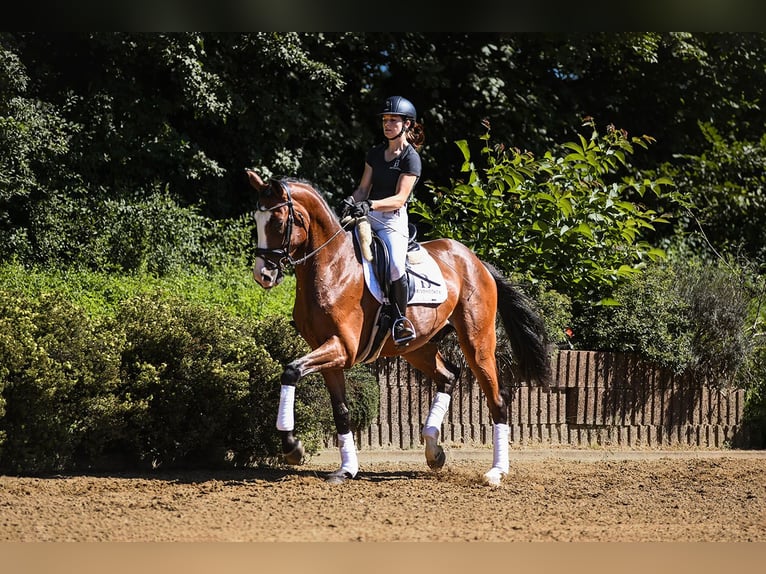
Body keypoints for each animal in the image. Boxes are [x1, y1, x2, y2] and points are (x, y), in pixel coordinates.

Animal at [249, 170, 556, 486]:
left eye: (278, 222)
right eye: (256, 220)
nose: (263, 275)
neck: (331, 267)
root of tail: (476, 261)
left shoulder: (342, 349)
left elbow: (291, 371)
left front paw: (292, 447)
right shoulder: (329, 354)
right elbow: (341, 411)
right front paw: (346, 469)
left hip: (477, 343)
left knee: (497, 400)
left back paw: (496, 471)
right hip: (416, 348)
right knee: (448, 376)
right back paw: (433, 450)